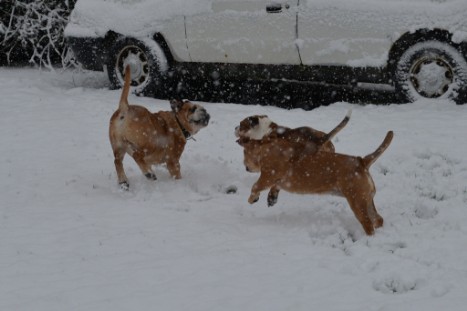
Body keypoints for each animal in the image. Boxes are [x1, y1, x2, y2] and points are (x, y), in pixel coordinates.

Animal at [243, 132, 394, 236]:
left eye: (244, 153)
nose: (245, 166)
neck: (266, 146)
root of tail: (361, 161)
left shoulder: (267, 176)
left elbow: (255, 186)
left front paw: (252, 198)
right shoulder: (277, 180)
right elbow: (275, 187)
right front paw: (271, 198)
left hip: (357, 202)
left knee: (368, 224)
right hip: (366, 200)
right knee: (378, 219)